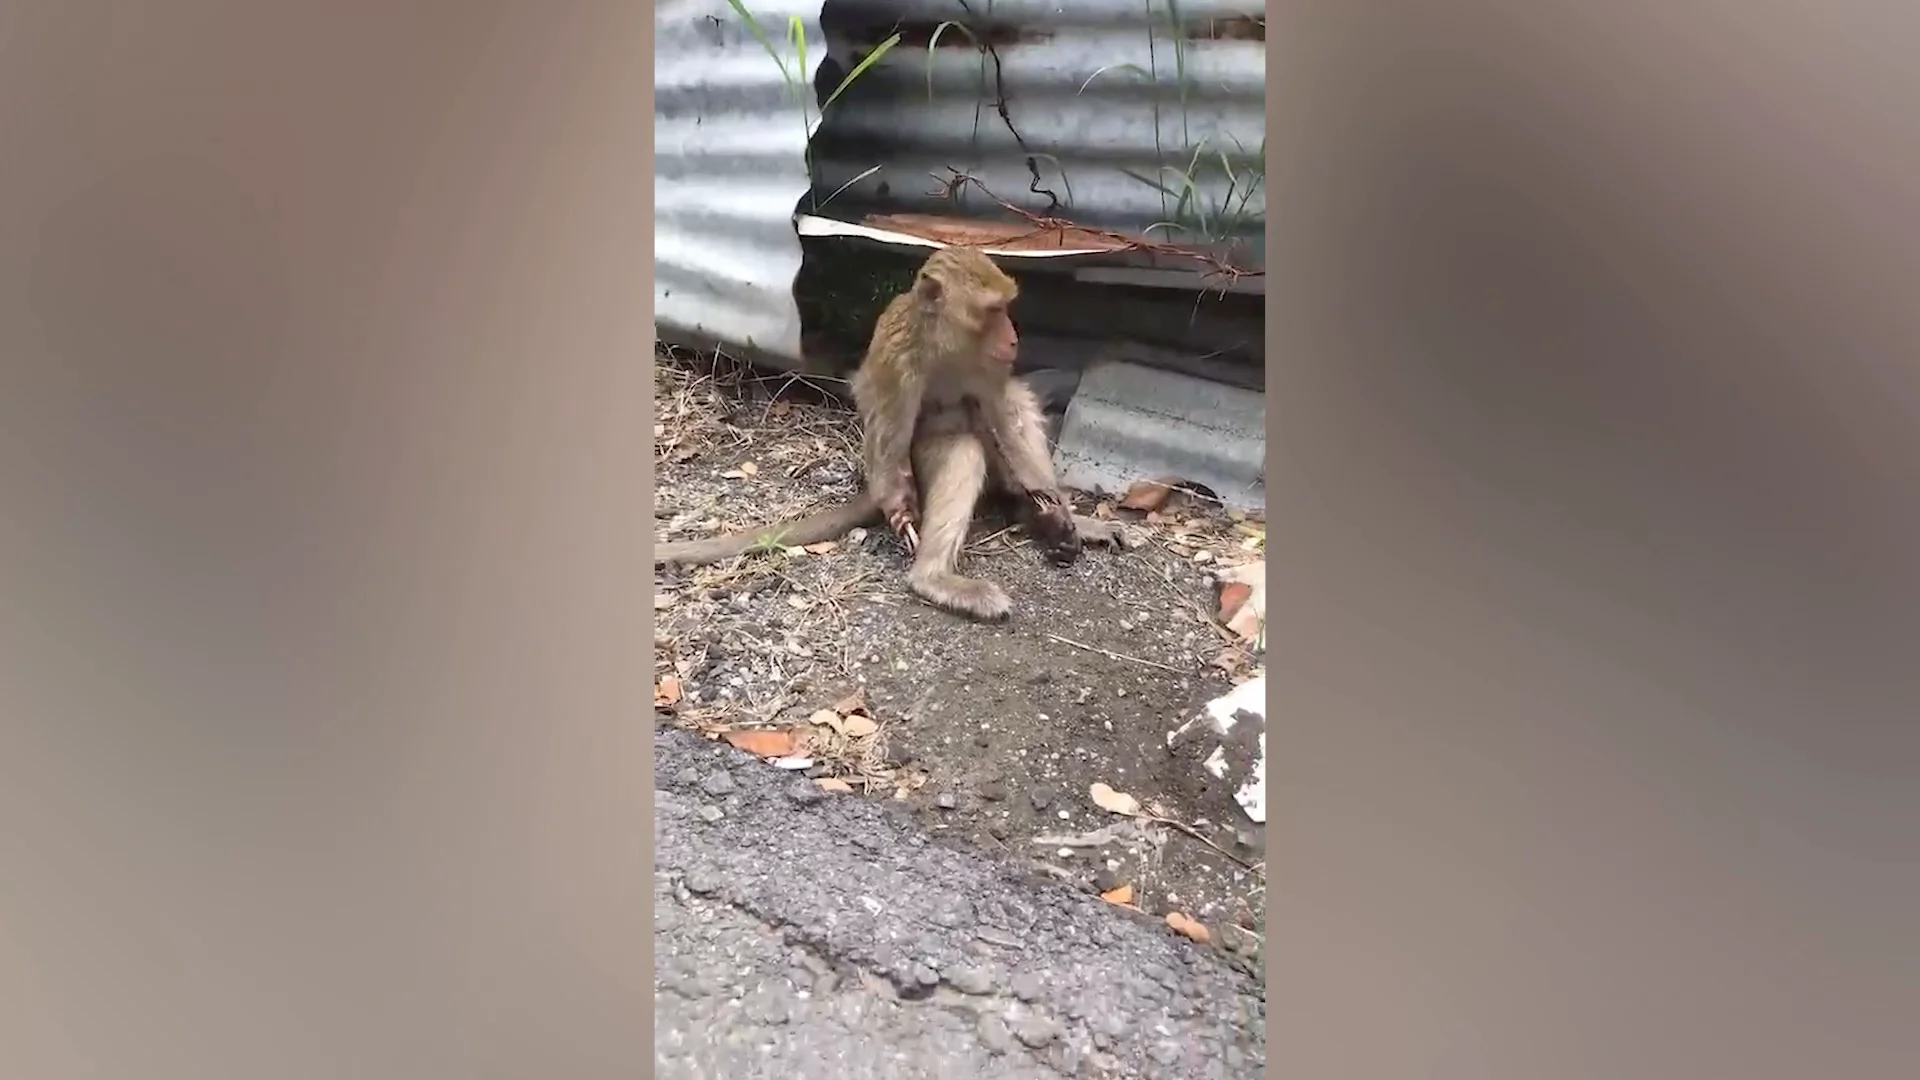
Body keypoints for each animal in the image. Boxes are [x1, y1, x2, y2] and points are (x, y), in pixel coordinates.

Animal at [654, 246, 1123, 620]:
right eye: (992, 311)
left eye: (1006, 308)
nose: (1013, 338)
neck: (943, 344)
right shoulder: (899, 365)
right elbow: (887, 438)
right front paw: (901, 513)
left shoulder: (989, 366)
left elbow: (1006, 414)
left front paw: (1059, 511)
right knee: (960, 450)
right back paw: (935, 576)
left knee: (1009, 412)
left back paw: (1040, 514)